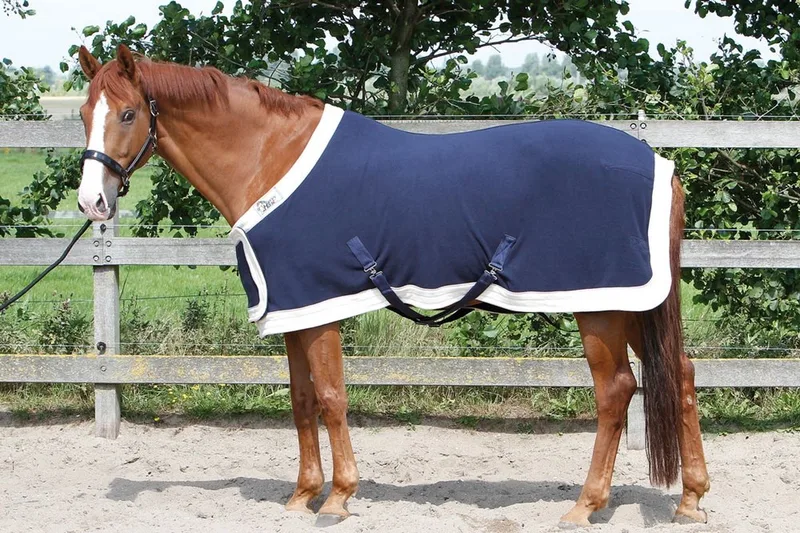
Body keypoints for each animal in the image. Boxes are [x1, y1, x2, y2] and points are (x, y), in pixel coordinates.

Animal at [75, 44, 709, 527]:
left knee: (615, 392)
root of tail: (660, 166)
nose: (92, 203)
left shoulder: (320, 306)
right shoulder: (296, 310)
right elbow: (302, 400)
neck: (270, 158)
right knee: (679, 373)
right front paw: (303, 495)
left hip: (600, 307)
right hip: (632, 303)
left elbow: (332, 398)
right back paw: (691, 501)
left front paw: (338, 498)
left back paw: (586, 505)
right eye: (83, 113)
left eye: (128, 114)